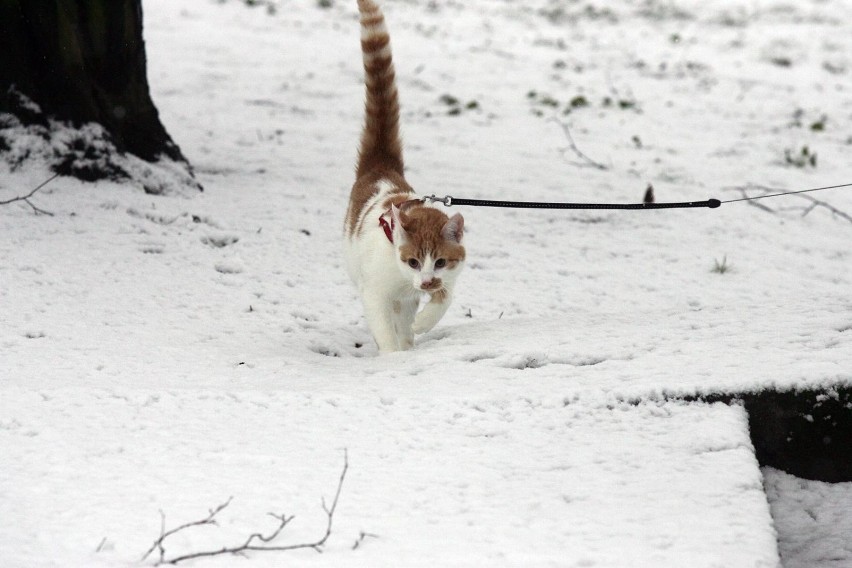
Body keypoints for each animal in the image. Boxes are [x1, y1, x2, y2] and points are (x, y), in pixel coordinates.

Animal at [344, 0, 466, 352]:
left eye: (439, 262)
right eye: (413, 261)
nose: (425, 281)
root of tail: (382, 166)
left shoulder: (446, 277)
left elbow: (444, 298)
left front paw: (422, 323)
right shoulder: (375, 293)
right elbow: (384, 330)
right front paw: (393, 357)